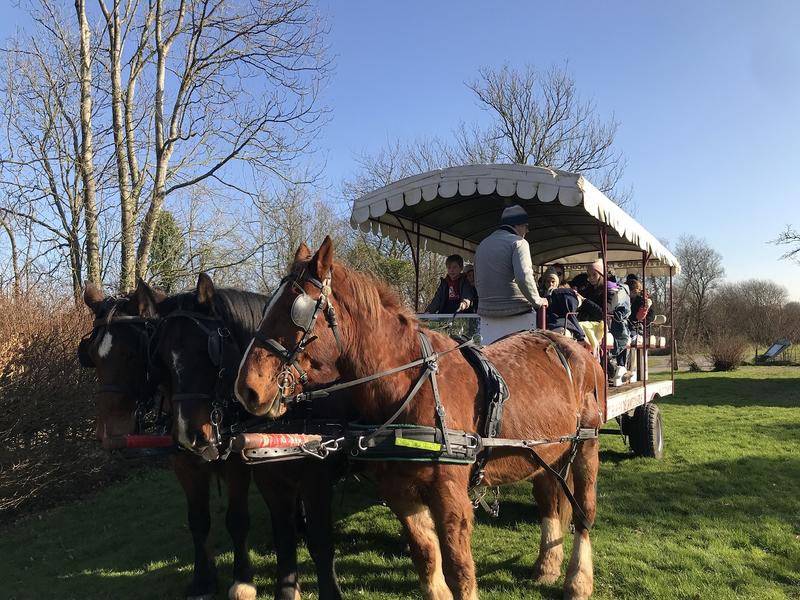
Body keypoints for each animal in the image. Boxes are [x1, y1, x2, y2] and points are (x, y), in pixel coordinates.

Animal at [138, 273, 343, 600]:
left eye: (209, 351)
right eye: (160, 358)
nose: (189, 436)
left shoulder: (300, 472)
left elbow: (238, 520)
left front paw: (243, 581)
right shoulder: (189, 466)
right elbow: (199, 521)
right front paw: (202, 581)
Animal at [234, 237, 604, 600]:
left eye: (296, 311)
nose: (247, 388)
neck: (411, 385)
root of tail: (571, 345)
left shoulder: (450, 494)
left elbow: (459, 569)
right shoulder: (400, 491)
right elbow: (426, 556)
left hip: (586, 445)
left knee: (584, 513)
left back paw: (578, 581)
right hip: (545, 453)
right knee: (550, 500)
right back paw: (547, 566)